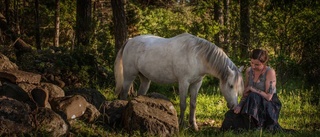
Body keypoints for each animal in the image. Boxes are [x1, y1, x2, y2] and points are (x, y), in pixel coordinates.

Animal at [115, 32, 245, 130]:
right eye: (230, 85)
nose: (234, 106)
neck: (197, 56)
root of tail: (129, 41)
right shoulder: (183, 82)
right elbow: (183, 104)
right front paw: (182, 125)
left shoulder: (196, 83)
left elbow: (193, 104)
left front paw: (194, 126)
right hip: (129, 76)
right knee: (123, 94)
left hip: (145, 79)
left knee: (140, 94)